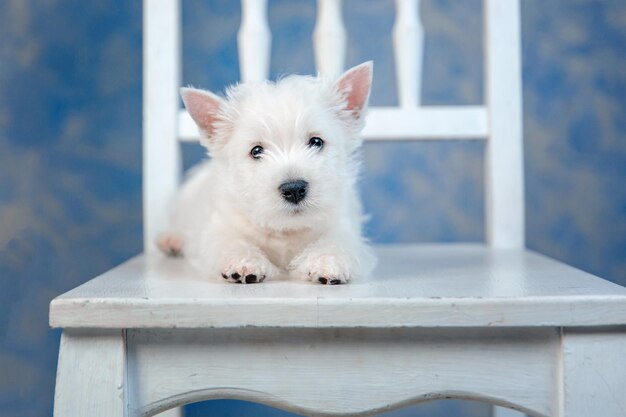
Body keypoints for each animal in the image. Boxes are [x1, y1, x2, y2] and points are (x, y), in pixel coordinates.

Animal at [158, 61, 378, 282]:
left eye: (316, 141)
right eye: (256, 151)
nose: (294, 189)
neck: (286, 230)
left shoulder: (343, 226)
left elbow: (334, 241)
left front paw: (326, 262)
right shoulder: (221, 226)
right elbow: (231, 241)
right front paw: (244, 263)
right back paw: (171, 241)